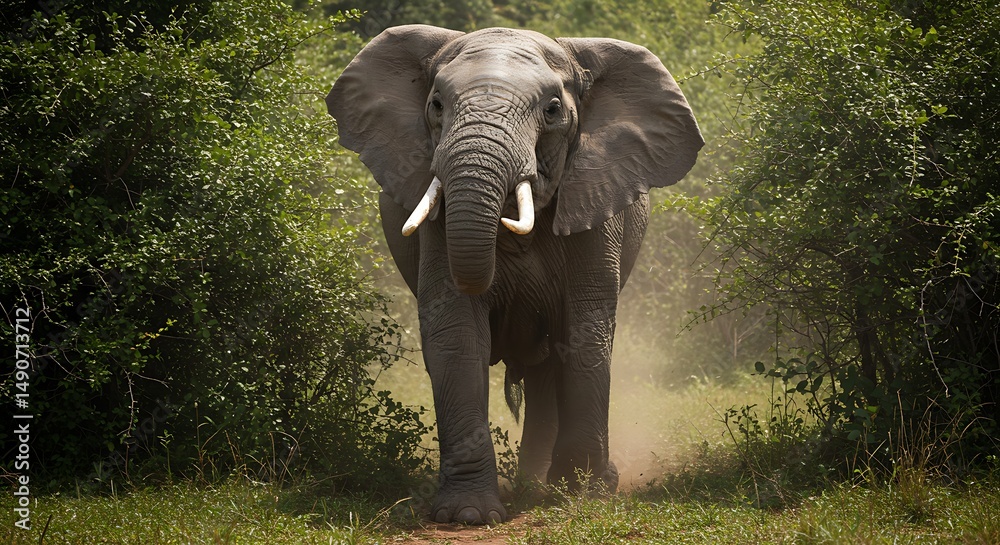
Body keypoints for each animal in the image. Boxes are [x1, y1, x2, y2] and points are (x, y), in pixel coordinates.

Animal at [327, 25, 702, 525]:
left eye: (553, 110)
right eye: (436, 104)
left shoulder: (594, 201)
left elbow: (584, 329)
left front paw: (583, 494)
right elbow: (457, 332)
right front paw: (468, 516)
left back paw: (544, 488)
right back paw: (530, 488)